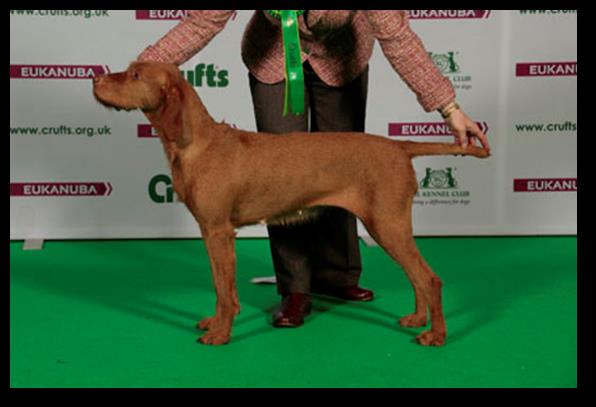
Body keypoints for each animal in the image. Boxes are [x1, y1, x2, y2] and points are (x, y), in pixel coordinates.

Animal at [91, 61, 486, 348]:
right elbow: (220, 287)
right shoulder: (209, 232)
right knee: (417, 277)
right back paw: (418, 319)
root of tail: (398, 146)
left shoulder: (219, 232)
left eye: (135, 75)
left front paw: (221, 333)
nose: (95, 79)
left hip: (387, 224)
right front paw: (216, 323)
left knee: (429, 278)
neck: (195, 143)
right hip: (390, 225)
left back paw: (435, 335)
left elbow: (226, 292)